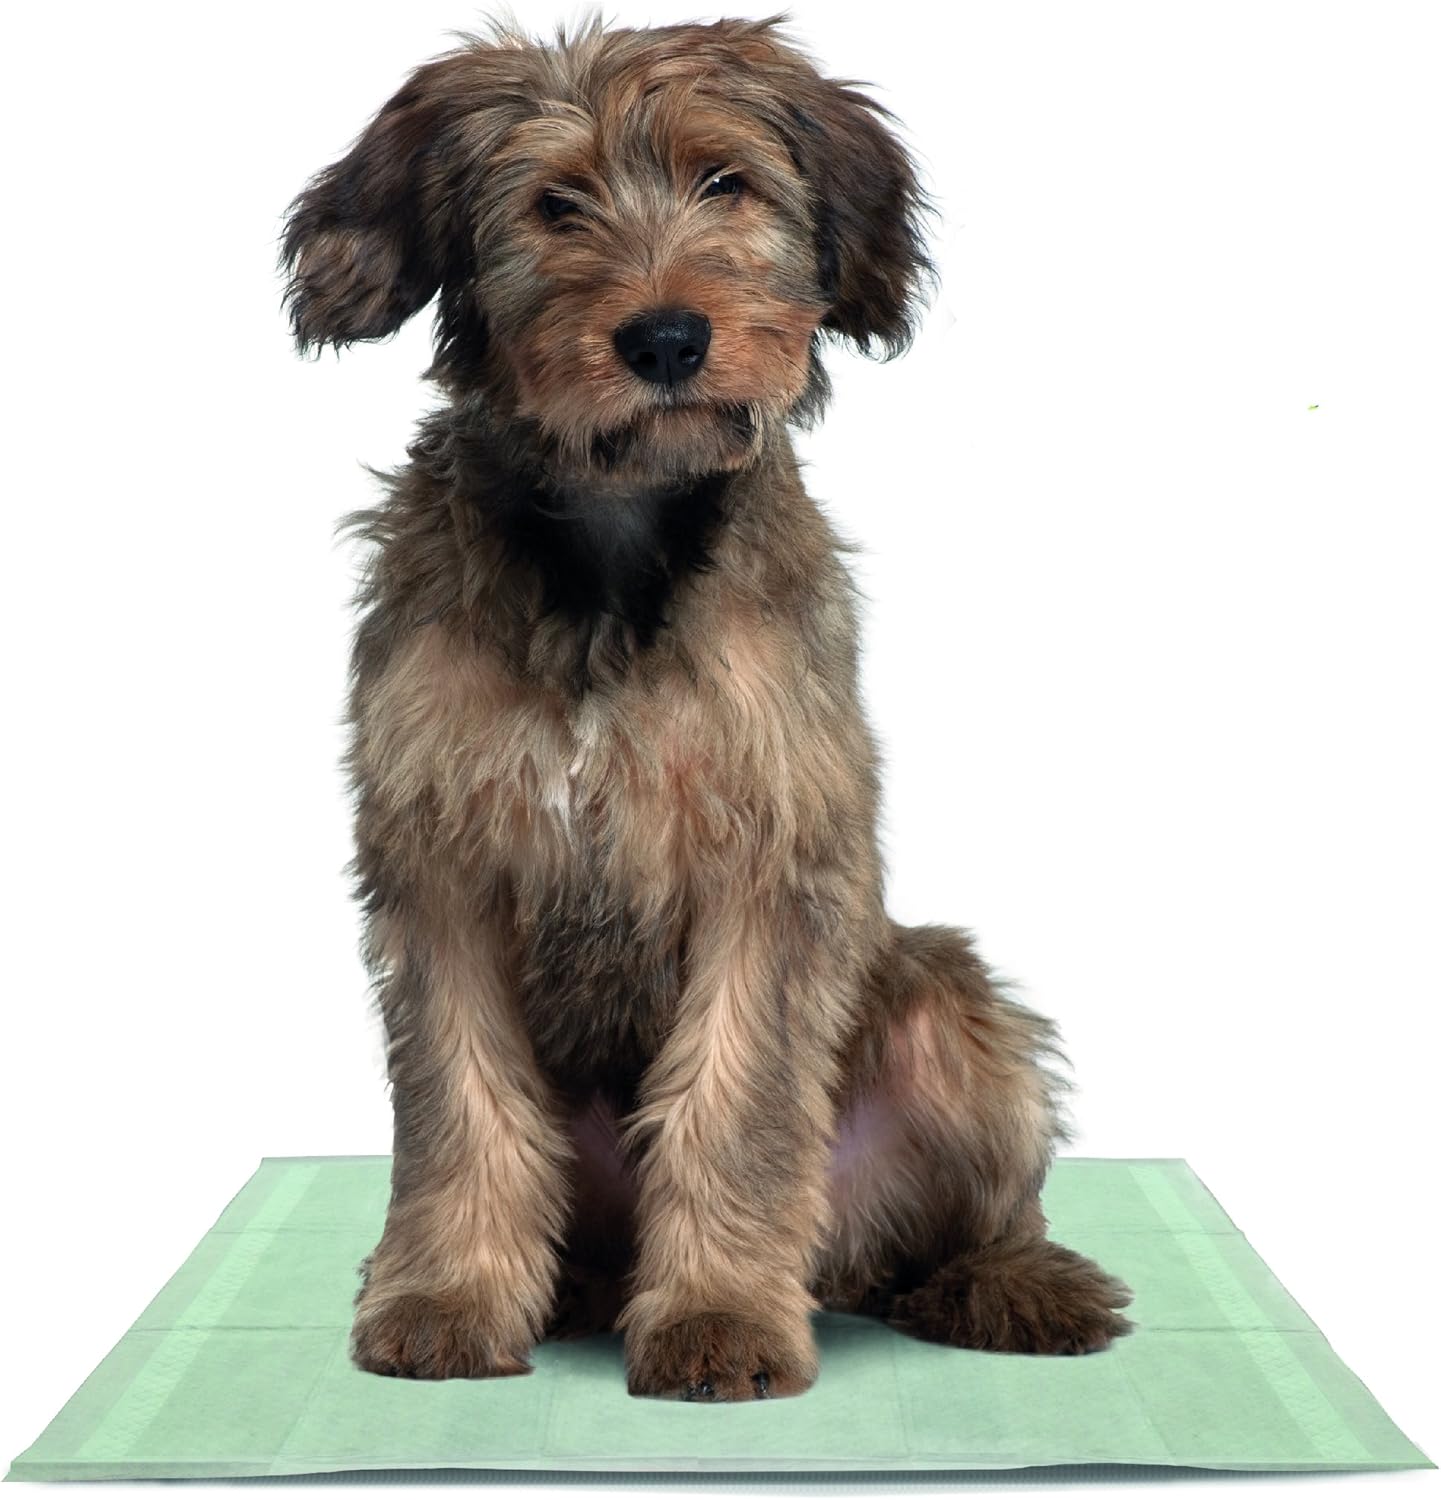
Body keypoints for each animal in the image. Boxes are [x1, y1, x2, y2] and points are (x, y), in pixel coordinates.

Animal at [282, 14, 1133, 1401]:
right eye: (554, 204)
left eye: (724, 181)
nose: (668, 339)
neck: (614, 540)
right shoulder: (440, 862)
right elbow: (461, 1105)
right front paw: (448, 1294)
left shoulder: (770, 862)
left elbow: (734, 1108)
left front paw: (720, 1316)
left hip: (941, 1001)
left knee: (963, 1219)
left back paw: (1015, 1282)